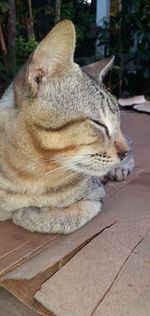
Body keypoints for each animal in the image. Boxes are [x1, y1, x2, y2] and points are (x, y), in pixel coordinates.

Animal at [0, 19, 134, 232]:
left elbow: (68, 218)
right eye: (98, 124)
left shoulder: (95, 197)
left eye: (118, 123)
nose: (123, 153)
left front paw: (29, 213)